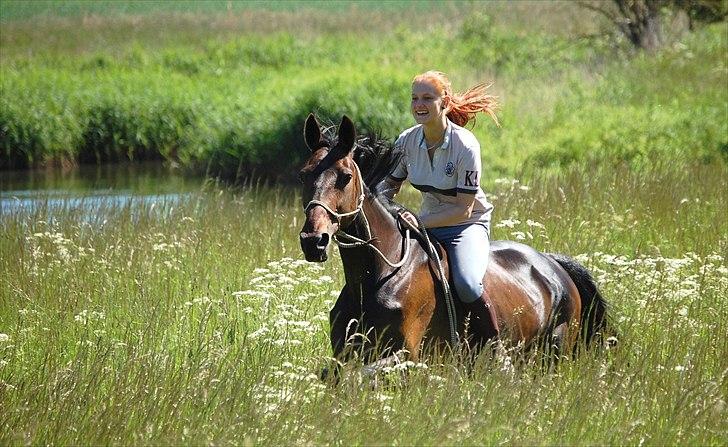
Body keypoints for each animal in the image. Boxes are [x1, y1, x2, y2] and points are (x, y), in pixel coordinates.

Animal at [296, 114, 608, 374]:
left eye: (345, 177)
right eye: (303, 175)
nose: (313, 241)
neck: (376, 276)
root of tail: (554, 264)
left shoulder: (406, 354)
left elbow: (357, 377)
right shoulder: (344, 351)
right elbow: (331, 375)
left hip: (555, 347)